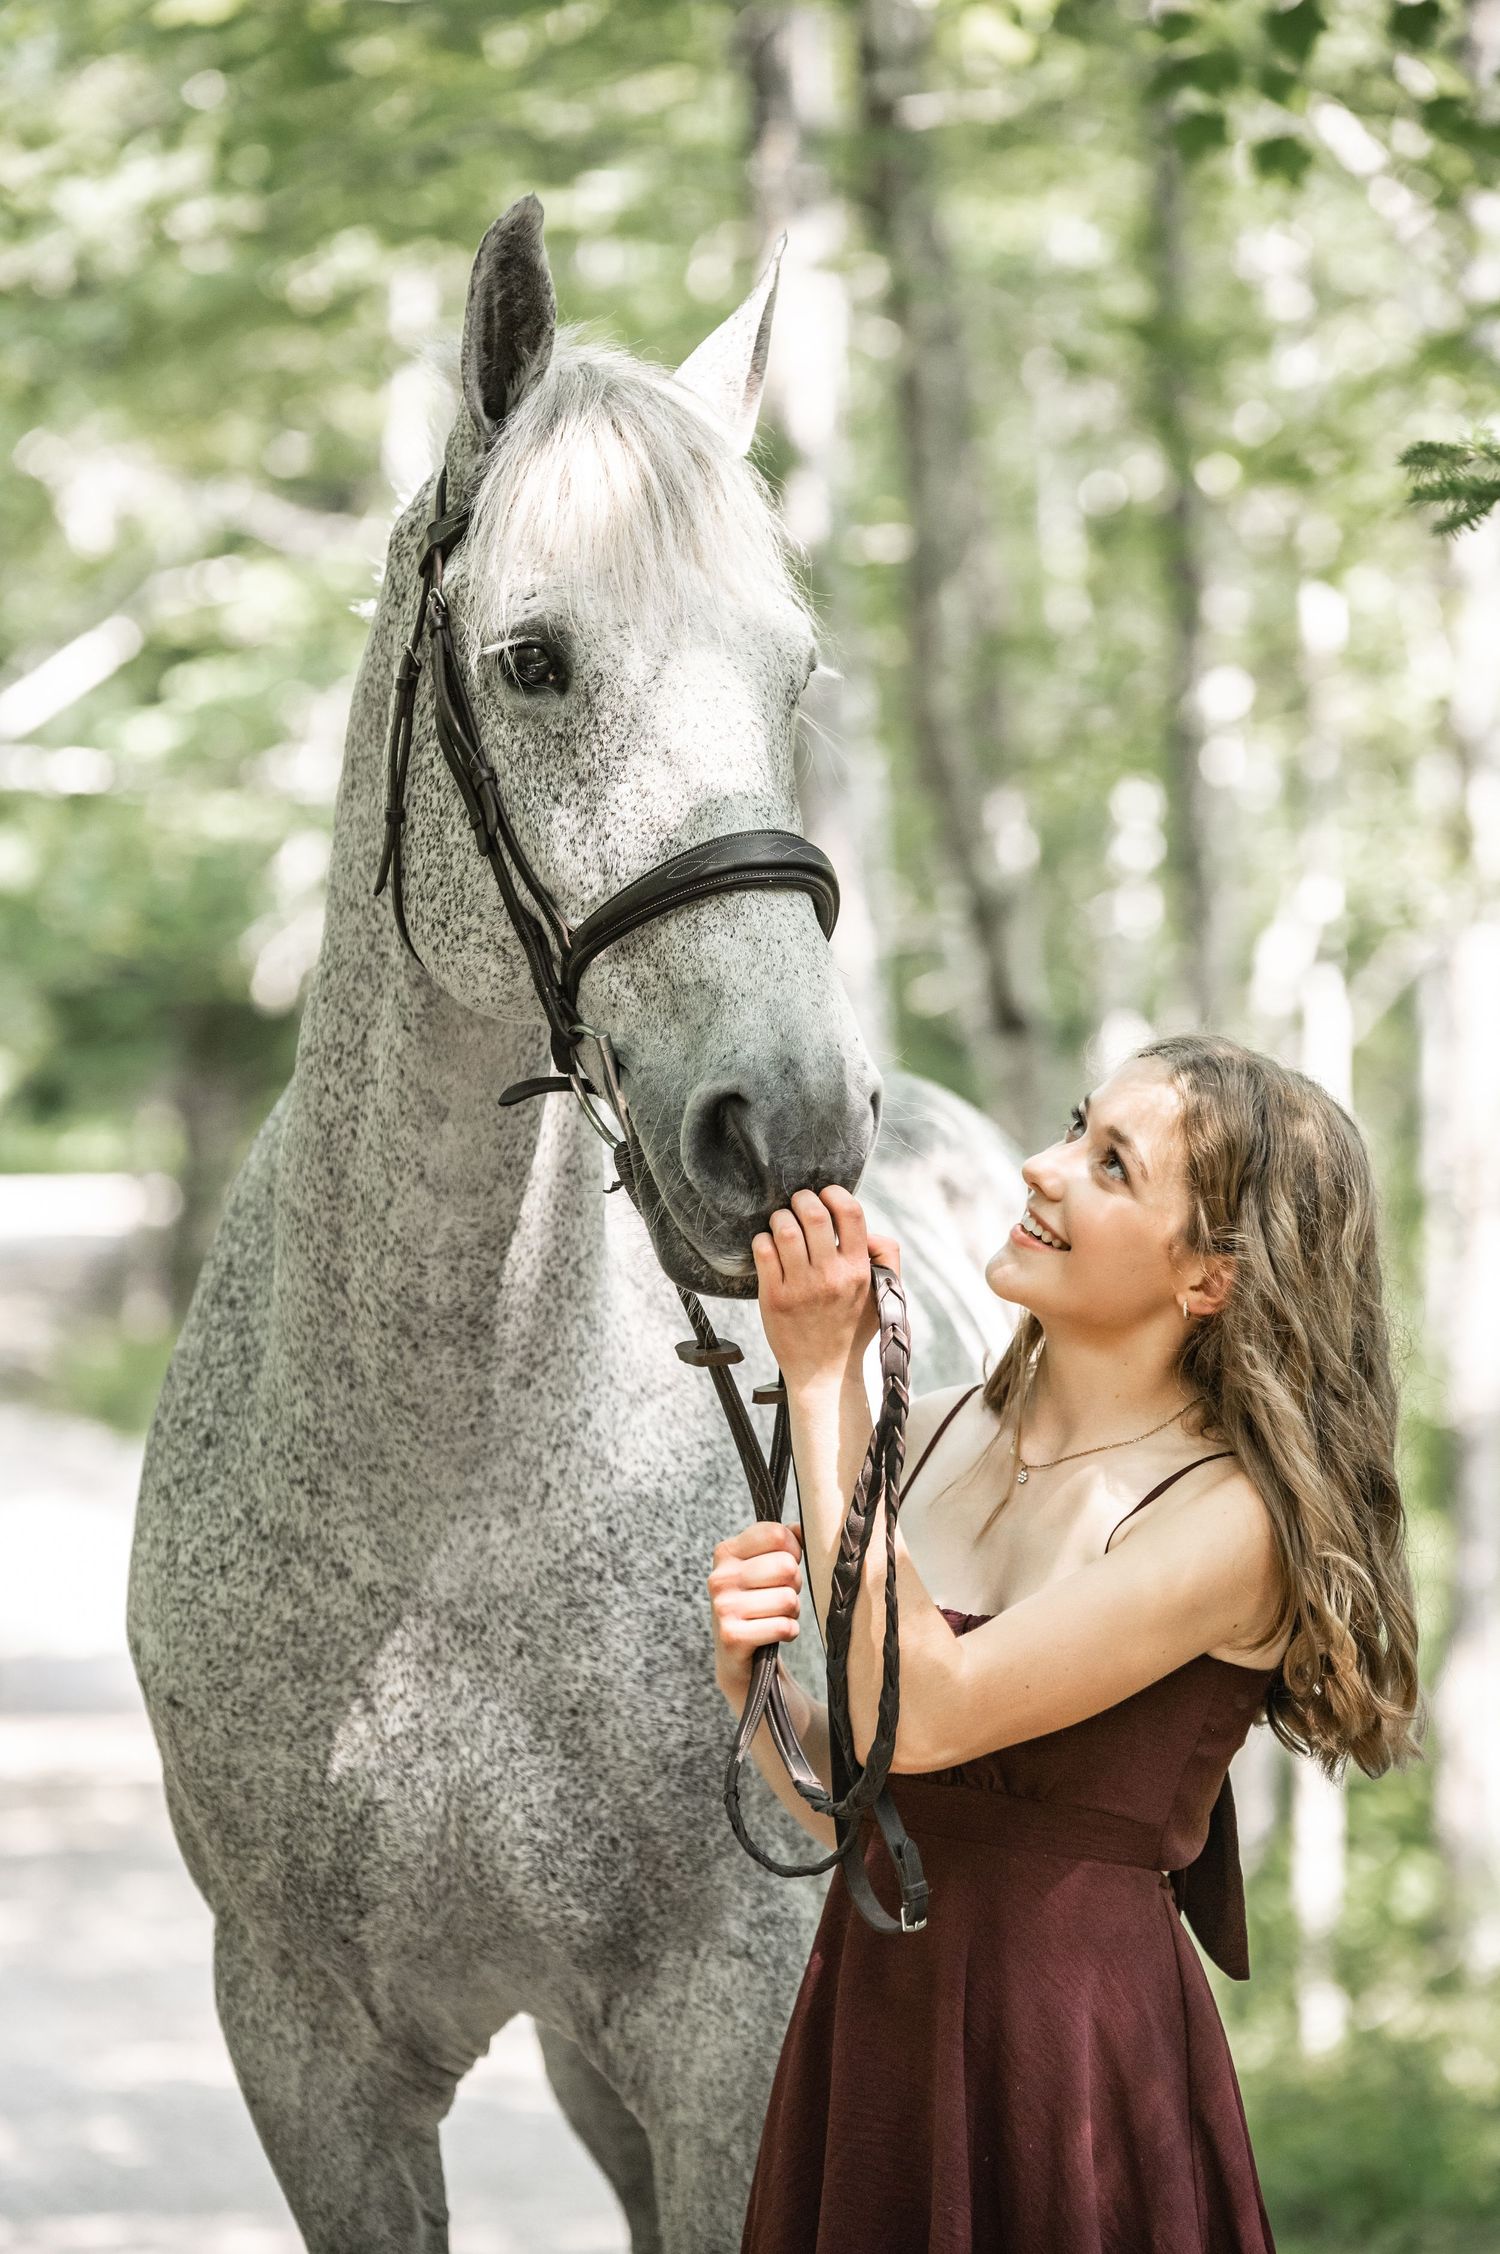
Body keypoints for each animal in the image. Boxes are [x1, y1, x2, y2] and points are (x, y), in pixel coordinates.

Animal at [128, 193, 1023, 2253]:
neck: (441, 1488)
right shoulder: (310, 2050)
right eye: (534, 661)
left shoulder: (726, 2035)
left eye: (792, 674)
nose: (791, 1124)